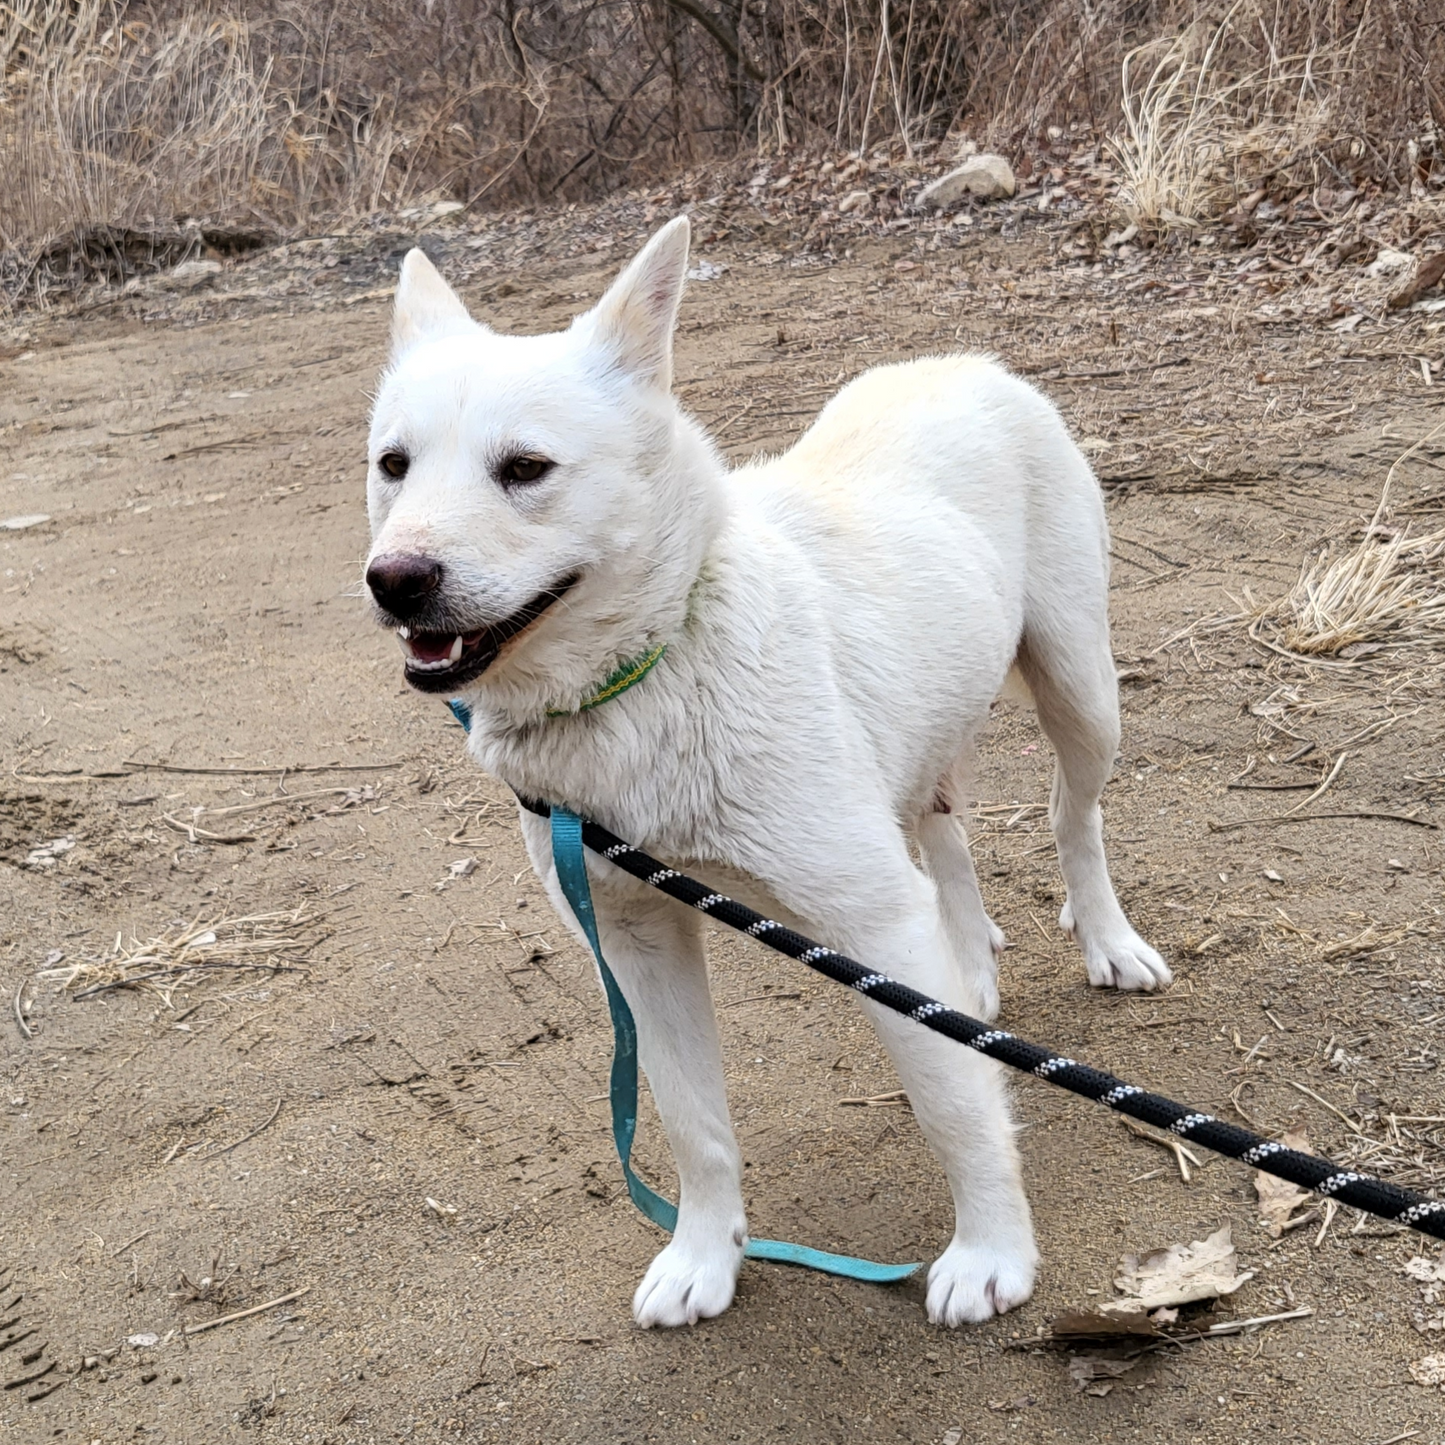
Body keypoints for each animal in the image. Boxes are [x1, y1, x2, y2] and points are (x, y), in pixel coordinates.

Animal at [367, 222, 1167, 1329]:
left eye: (525, 467)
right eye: (393, 465)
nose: (393, 582)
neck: (650, 670)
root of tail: (964, 362)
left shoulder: (870, 922)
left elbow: (953, 1109)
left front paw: (992, 1251)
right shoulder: (638, 939)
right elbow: (693, 1125)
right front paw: (703, 1257)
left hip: (1081, 692)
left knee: (1070, 815)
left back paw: (1107, 940)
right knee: (942, 830)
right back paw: (966, 963)